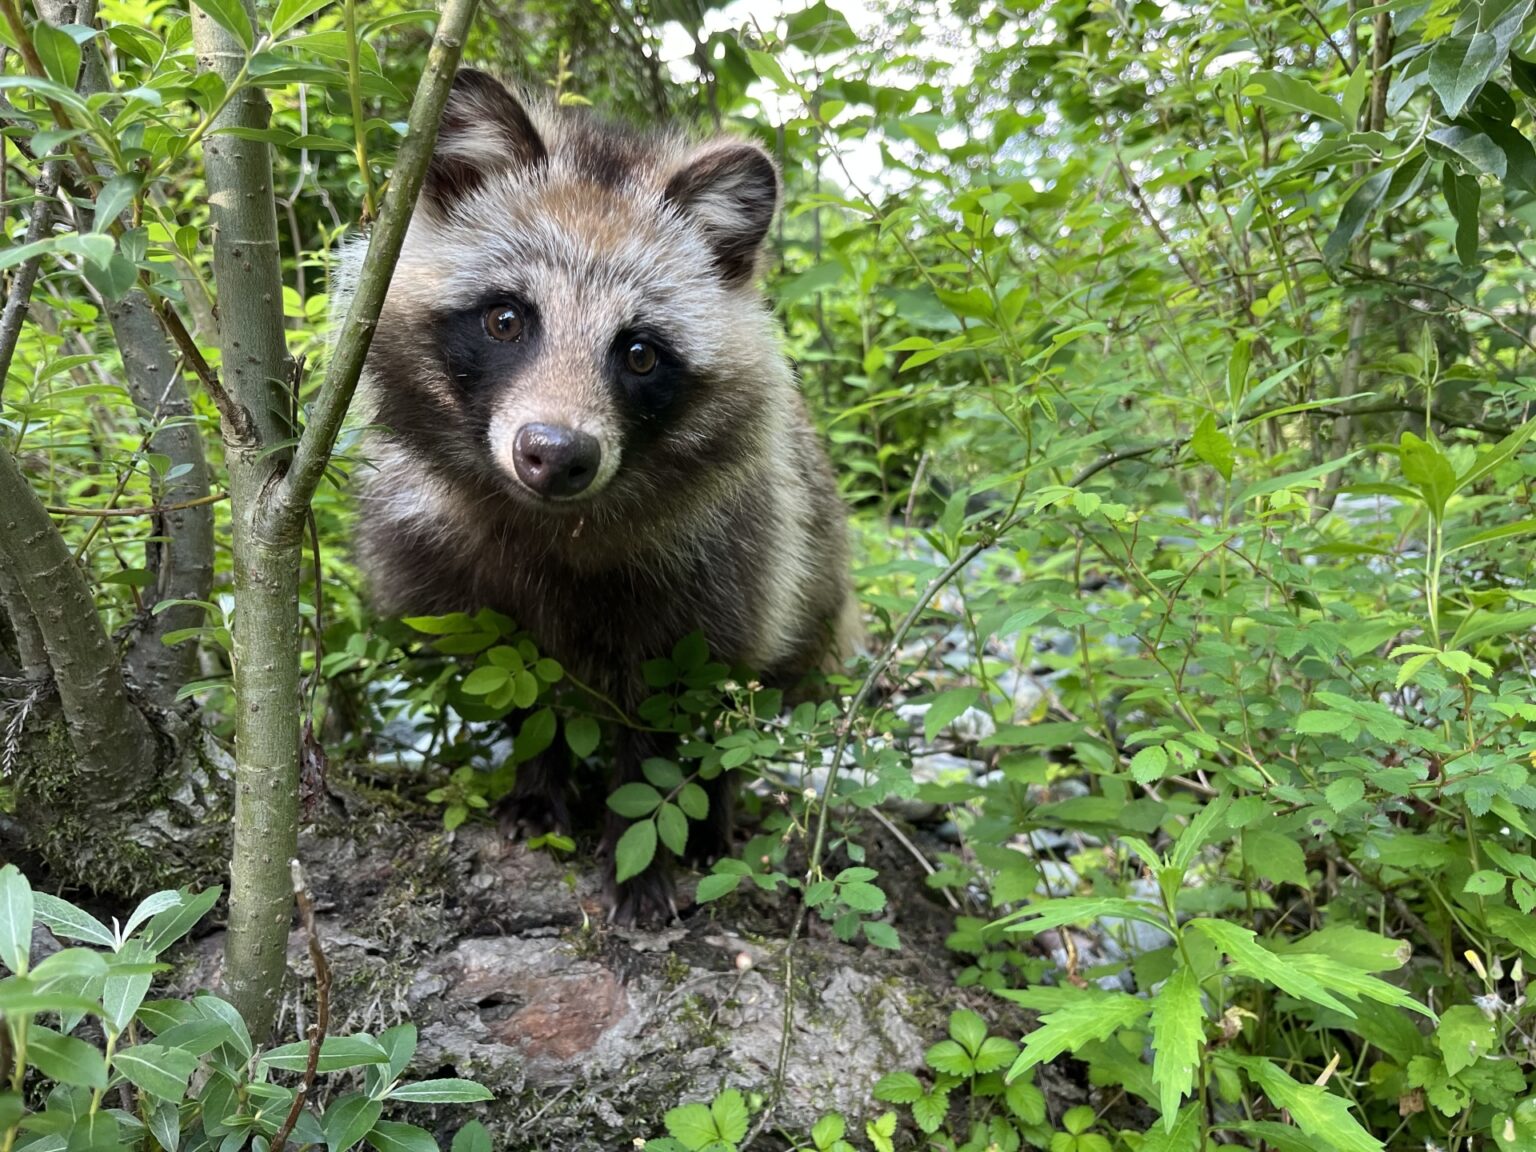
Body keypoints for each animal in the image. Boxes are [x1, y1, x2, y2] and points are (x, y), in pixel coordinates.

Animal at [345, 72, 854, 927]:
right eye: (506, 319)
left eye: (640, 354)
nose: (555, 455)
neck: (553, 522)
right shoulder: (462, 574)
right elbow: (524, 686)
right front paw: (537, 783)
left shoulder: (721, 571)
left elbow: (668, 719)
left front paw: (639, 844)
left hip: (805, 581)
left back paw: (713, 817)